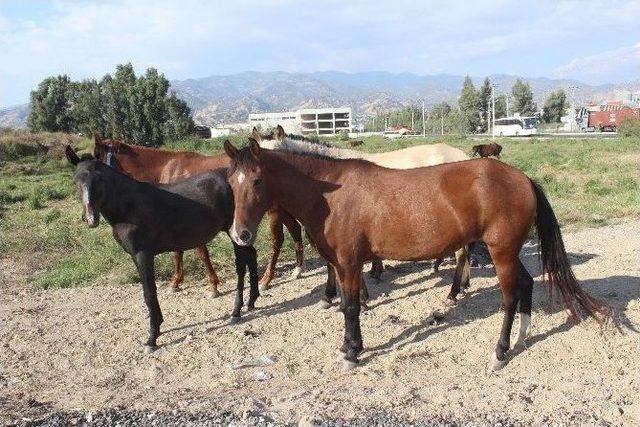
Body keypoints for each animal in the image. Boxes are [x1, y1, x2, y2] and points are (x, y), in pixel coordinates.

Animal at [66, 147, 258, 354]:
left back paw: (236, 311)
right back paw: (252, 301)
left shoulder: (144, 254)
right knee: (251, 256)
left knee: (241, 266)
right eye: (75, 181)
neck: (130, 206)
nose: (90, 218)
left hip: (235, 233)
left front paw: (152, 338)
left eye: (100, 179)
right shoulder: (135, 256)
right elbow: (148, 292)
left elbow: (150, 293)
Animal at [93, 136, 304, 294]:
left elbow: (200, 252)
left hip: (273, 211)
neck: (170, 168)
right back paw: (298, 269)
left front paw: (213, 285)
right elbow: (177, 252)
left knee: (278, 240)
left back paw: (267, 278)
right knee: (295, 229)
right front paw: (176, 282)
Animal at [224, 140, 604, 372]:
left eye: (257, 180)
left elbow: (351, 307)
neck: (331, 194)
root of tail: (523, 179)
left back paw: (500, 351)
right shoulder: (341, 263)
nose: (240, 235)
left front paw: (352, 353)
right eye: (231, 181)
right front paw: (349, 347)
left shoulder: (349, 261)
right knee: (525, 284)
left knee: (510, 296)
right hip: (509, 251)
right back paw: (523, 336)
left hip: (501, 252)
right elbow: (346, 304)